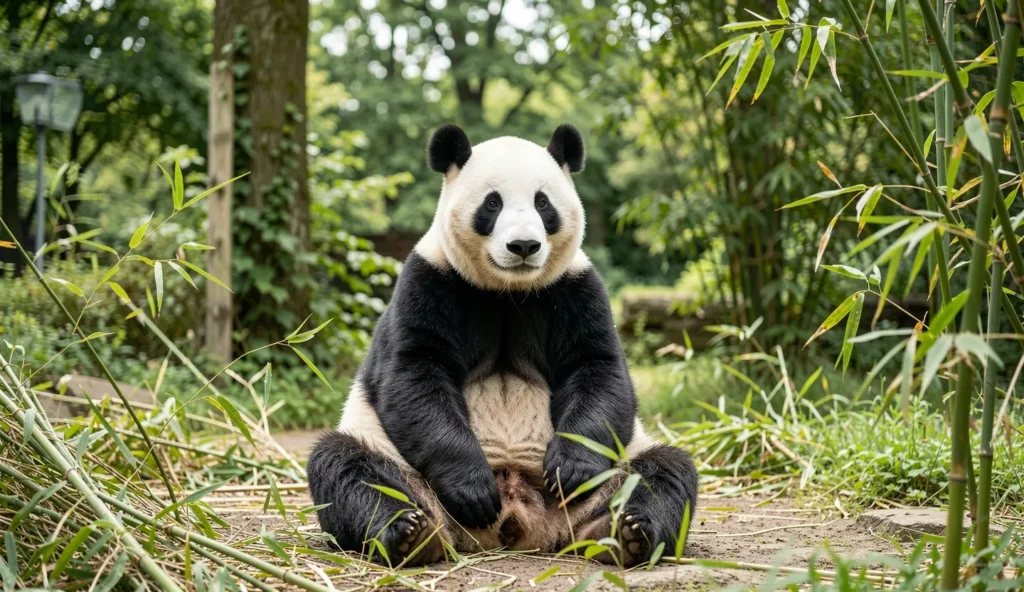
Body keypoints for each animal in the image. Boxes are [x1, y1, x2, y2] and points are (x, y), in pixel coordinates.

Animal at [307, 124, 698, 567]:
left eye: (543, 203)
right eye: (492, 204)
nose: (524, 246)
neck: (508, 291)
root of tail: (520, 518)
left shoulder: (576, 289)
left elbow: (597, 370)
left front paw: (570, 469)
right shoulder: (428, 281)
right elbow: (414, 375)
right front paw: (472, 489)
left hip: (614, 469)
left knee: (663, 473)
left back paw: (622, 533)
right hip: (391, 457)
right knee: (348, 469)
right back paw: (410, 533)